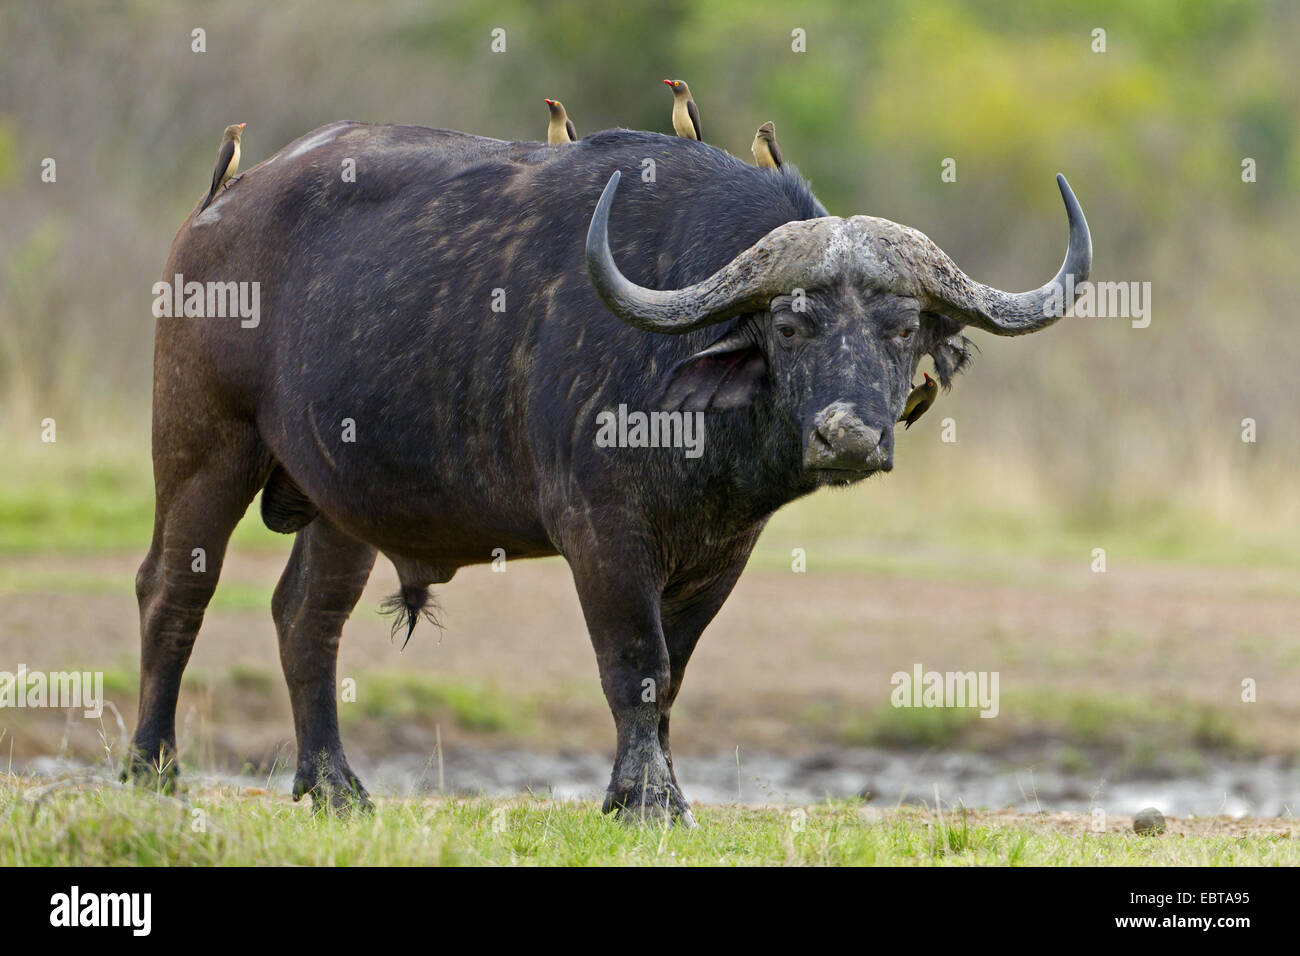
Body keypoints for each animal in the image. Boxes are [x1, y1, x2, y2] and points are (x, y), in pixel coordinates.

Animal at [129, 119, 1086, 822]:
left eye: (902, 327)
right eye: (789, 325)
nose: (849, 436)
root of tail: (218, 209)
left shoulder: (722, 554)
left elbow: (673, 676)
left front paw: (647, 790)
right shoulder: (601, 533)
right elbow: (633, 661)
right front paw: (648, 803)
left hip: (340, 503)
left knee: (306, 619)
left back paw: (332, 785)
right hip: (203, 445)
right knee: (173, 589)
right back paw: (154, 768)